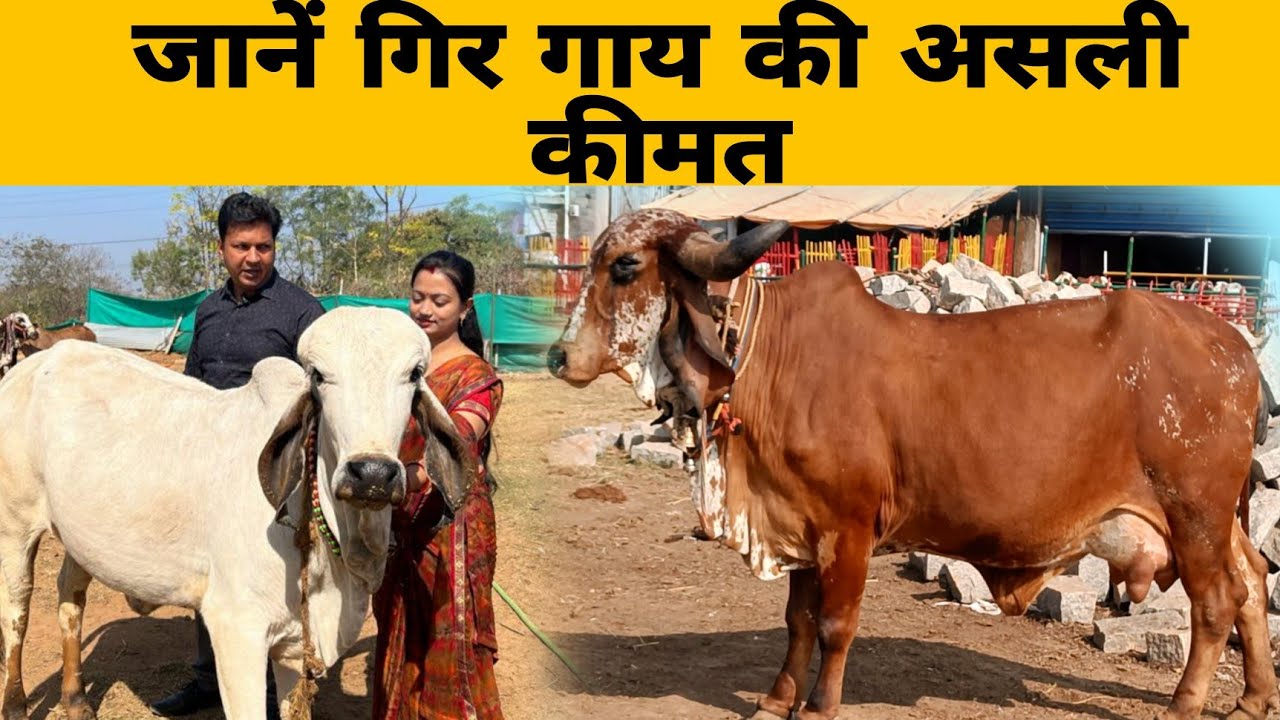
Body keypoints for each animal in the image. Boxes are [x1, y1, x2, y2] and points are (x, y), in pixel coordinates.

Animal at [0, 307, 473, 720]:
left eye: (414, 373)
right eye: (318, 376)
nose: (371, 473)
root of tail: (37, 363)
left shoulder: (292, 645)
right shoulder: (236, 630)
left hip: (80, 537)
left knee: (70, 595)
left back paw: (76, 700)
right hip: (15, 528)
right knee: (17, 610)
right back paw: (16, 705)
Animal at [546, 209, 1279, 720]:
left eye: (625, 265)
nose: (557, 356)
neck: (766, 359)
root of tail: (1234, 346)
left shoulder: (847, 529)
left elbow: (835, 625)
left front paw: (820, 704)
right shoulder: (799, 524)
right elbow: (797, 622)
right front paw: (777, 699)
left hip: (1193, 513)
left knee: (1217, 602)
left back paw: (1184, 704)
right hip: (1216, 522)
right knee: (1251, 583)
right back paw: (1252, 698)